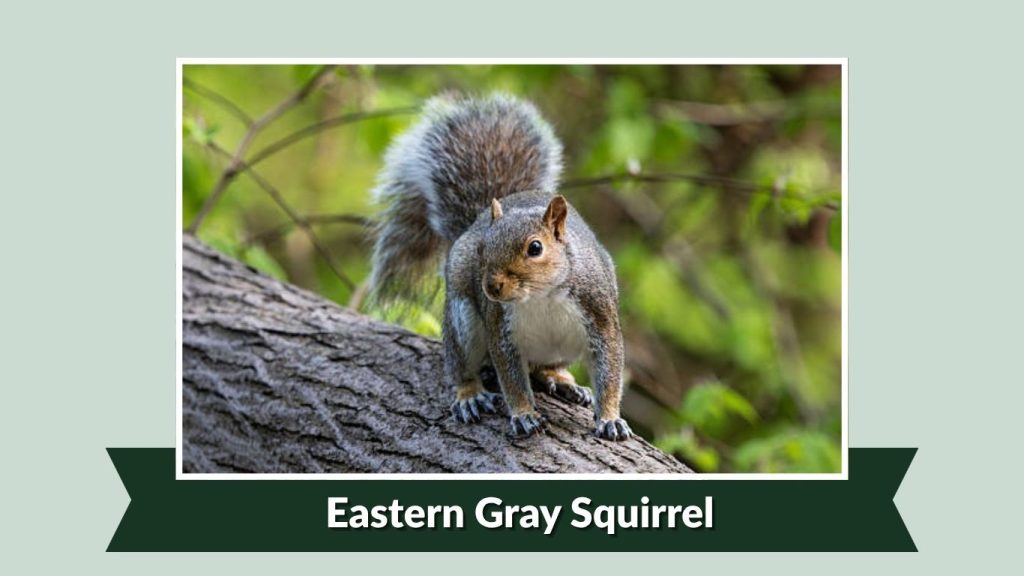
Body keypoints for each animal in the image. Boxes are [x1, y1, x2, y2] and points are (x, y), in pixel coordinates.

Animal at [369, 93, 632, 441]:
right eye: (482, 249)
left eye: (535, 248)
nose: (491, 287)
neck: (541, 297)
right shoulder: (500, 329)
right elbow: (511, 379)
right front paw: (523, 414)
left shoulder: (600, 316)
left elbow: (610, 370)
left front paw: (611, 417)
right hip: (463, 319)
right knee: (462, 365)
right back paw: (470, 395)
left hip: (563, 348)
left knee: (544, 367)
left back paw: (561, 380)